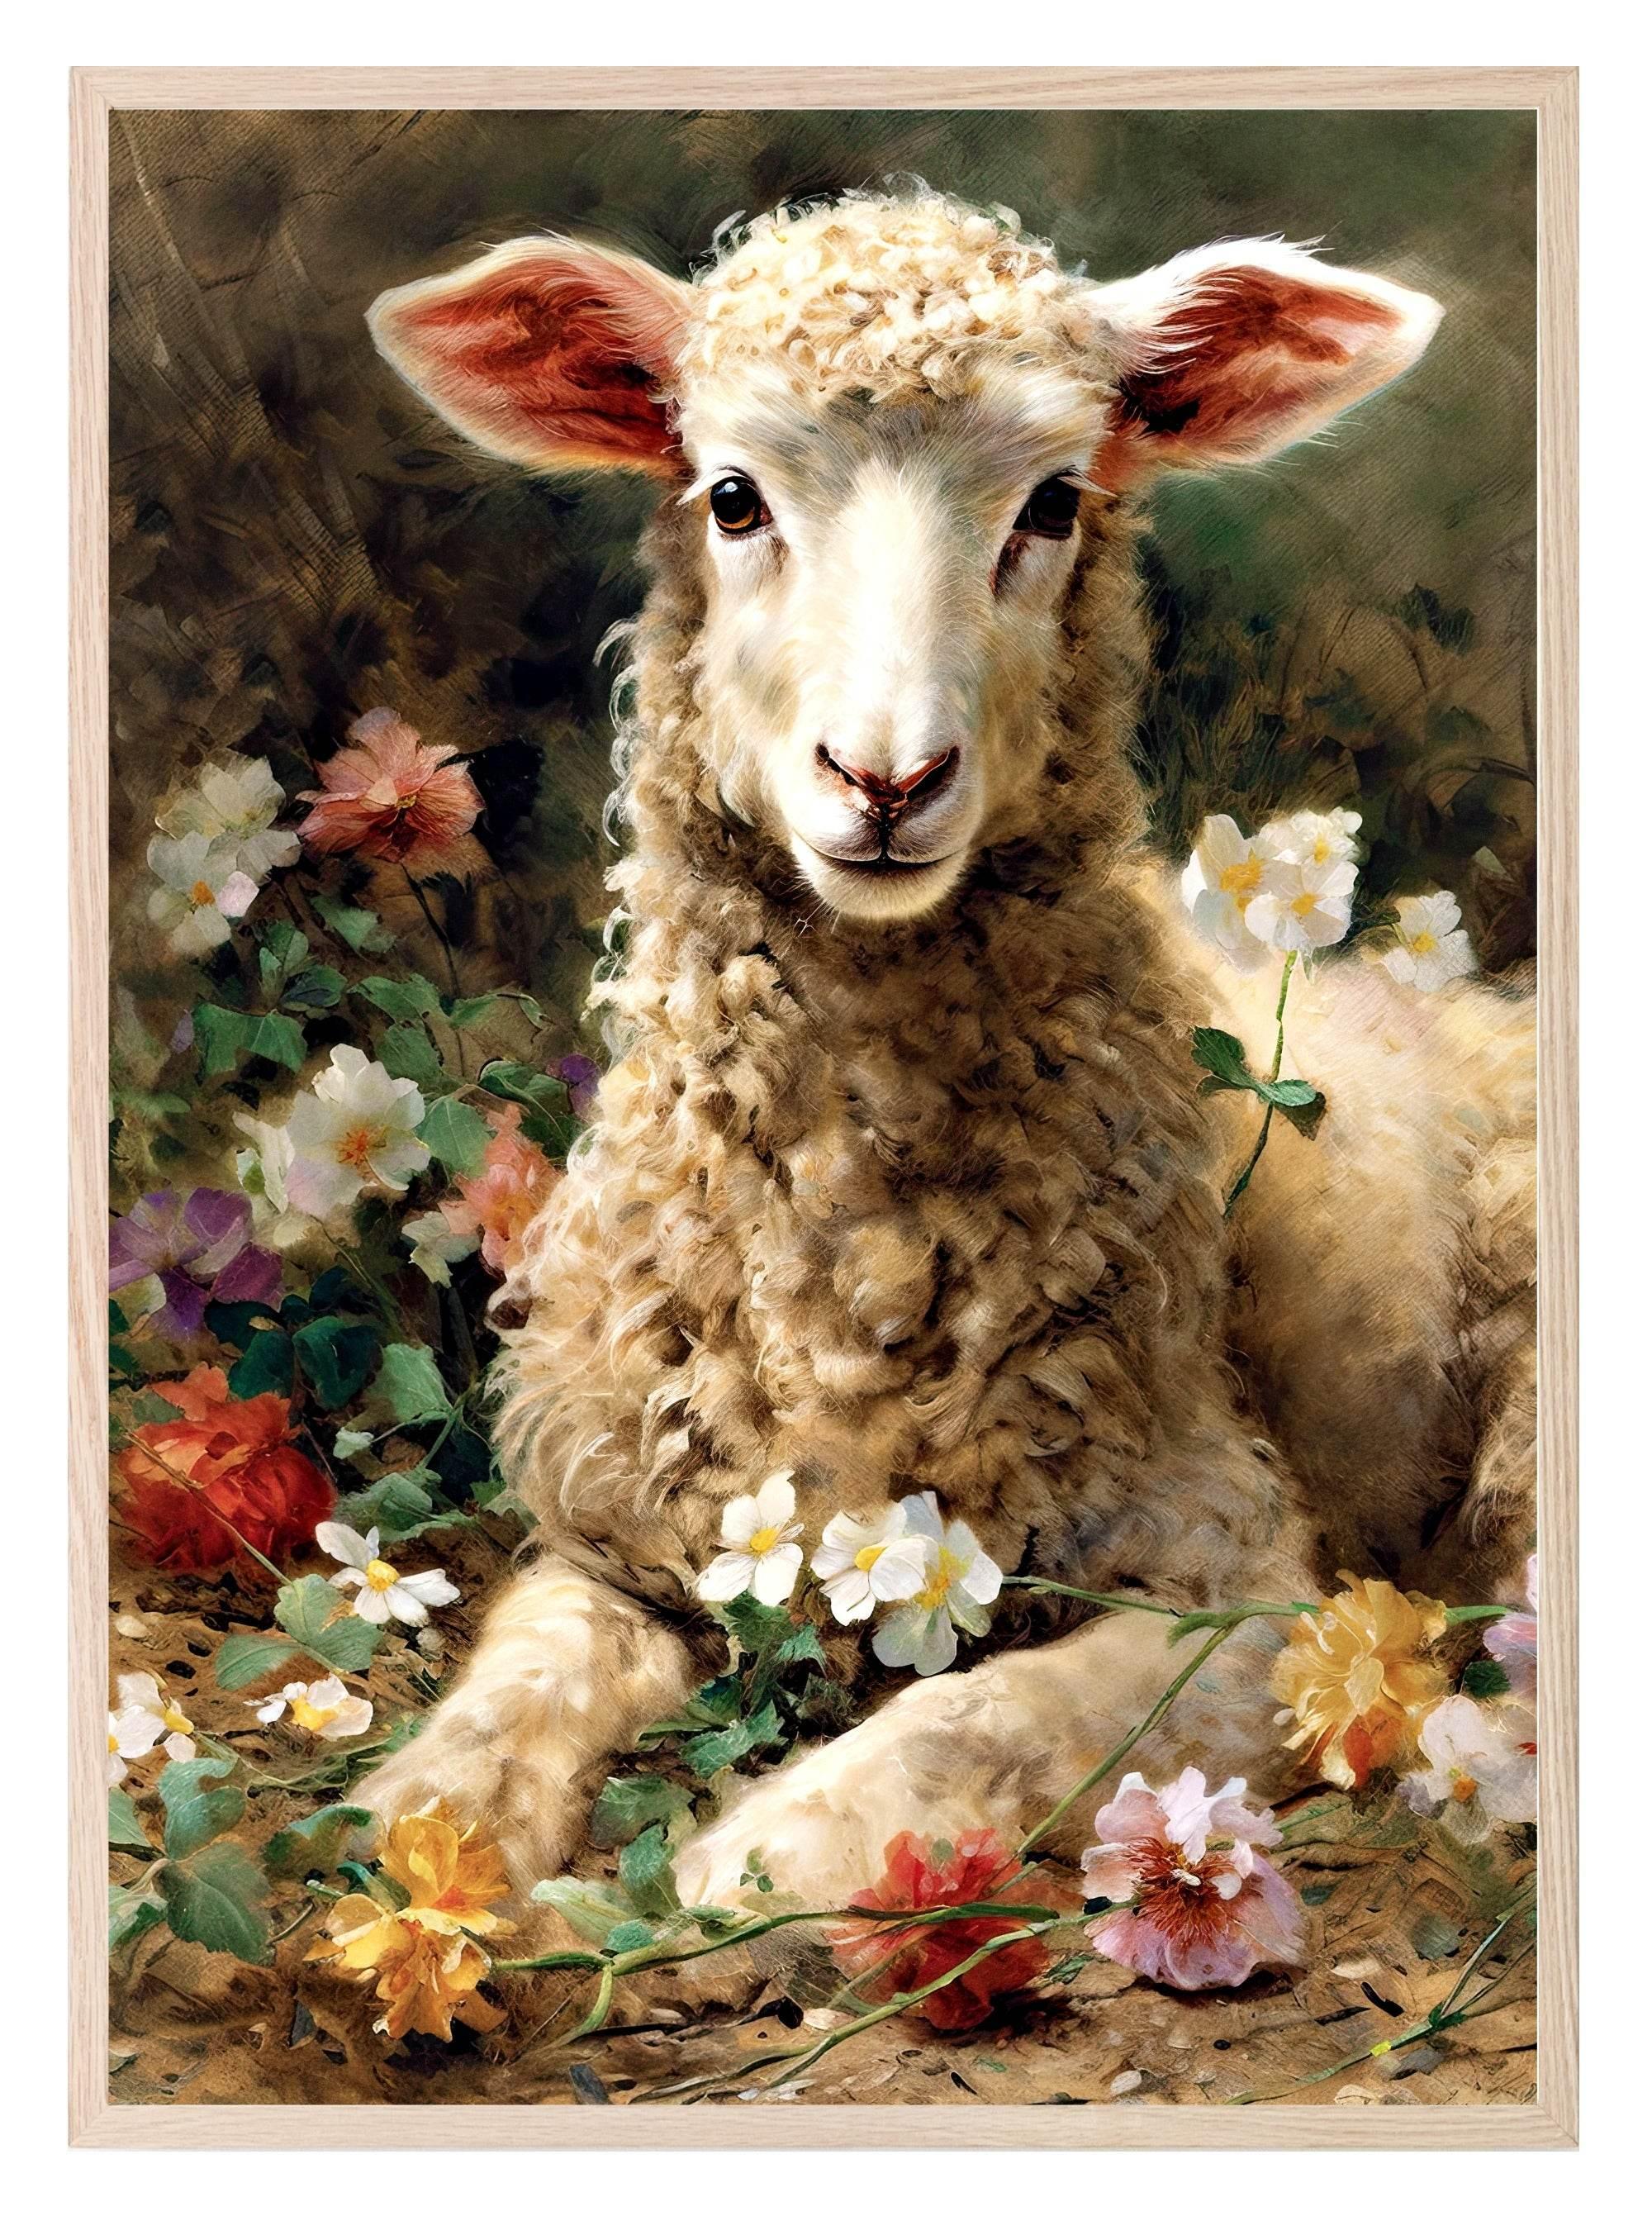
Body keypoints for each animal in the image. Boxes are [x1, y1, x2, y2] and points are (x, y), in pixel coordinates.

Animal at [357, 187, 1535, 1911]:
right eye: (730, 496)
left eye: (1051, 500)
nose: (888, 778)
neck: (851, 1266)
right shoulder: (623, 1522)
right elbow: (518, 1678)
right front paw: (427, 1833)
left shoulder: (1233, 1583)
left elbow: (970, 1723)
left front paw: (757, 1858)